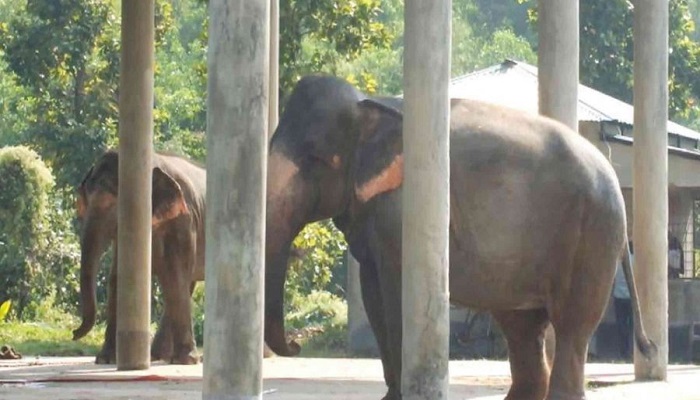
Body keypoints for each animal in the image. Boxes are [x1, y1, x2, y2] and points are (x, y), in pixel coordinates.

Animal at [73, 148, 205, 364]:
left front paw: (186, 361)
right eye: (86, 201)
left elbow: (175, 277)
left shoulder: (185, 220)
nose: (74, 333)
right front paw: (105, 359)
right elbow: (117, 279)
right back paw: (157, 356)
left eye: (115, 205)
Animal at [264, 76, 656, 400]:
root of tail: (612, 175)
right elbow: (373, 295)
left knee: (571, 326)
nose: (297, 345)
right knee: (523, 328)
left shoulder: (401, 209)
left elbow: (396, 294)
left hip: (592, 235)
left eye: (315, 158)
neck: (371, 106)